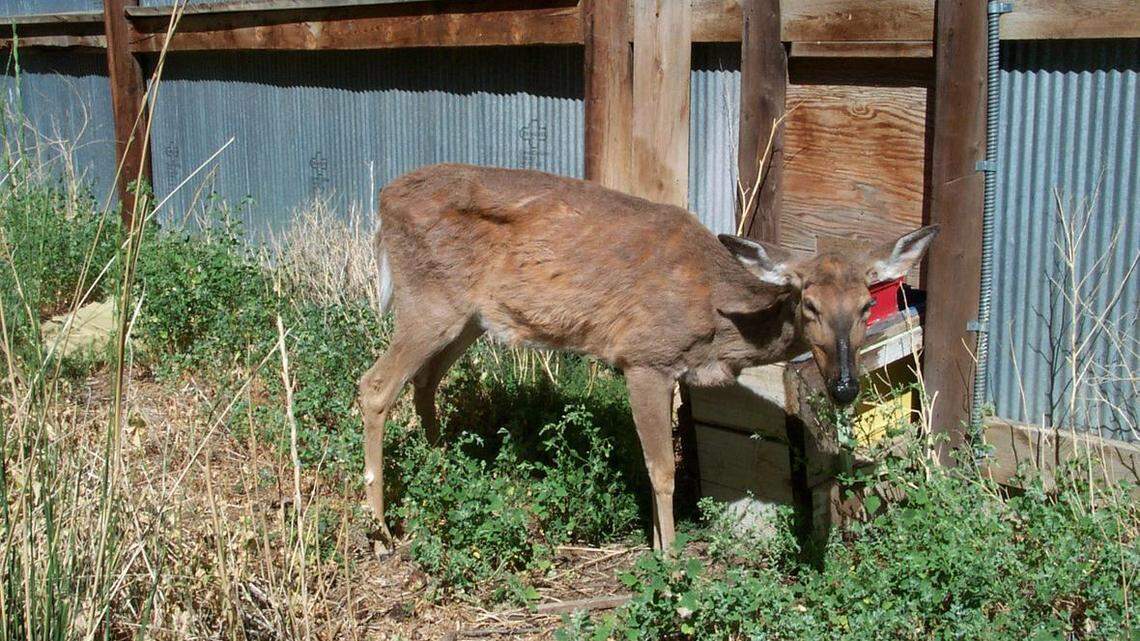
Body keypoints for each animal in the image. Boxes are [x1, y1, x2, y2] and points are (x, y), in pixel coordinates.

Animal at [358, 163, 938, 552]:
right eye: (810, 304)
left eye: (866, 305)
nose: (844, 386)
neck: (717, 320)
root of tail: (382, 201)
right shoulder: (643, 358)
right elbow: (662, 471)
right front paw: (672, 561)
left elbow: (655, 463)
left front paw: (660, 547)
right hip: (428, 301)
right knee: (375, 385)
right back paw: (383, 529)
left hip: (469, 318)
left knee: (425, 382)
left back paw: (444, 470)